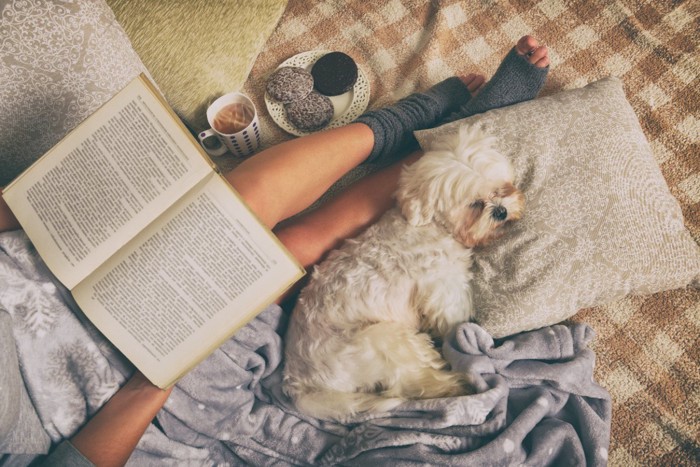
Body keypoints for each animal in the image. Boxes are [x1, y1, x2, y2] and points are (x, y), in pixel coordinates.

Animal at [282, 126, 524, 422]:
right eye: (476, 204)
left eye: (501, 188)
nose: (501, 211)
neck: (434, 226)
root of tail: (300, 384)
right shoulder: (445, 294)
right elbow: (455, 319)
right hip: (384, 339)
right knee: (410, 384)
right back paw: (455, 385)